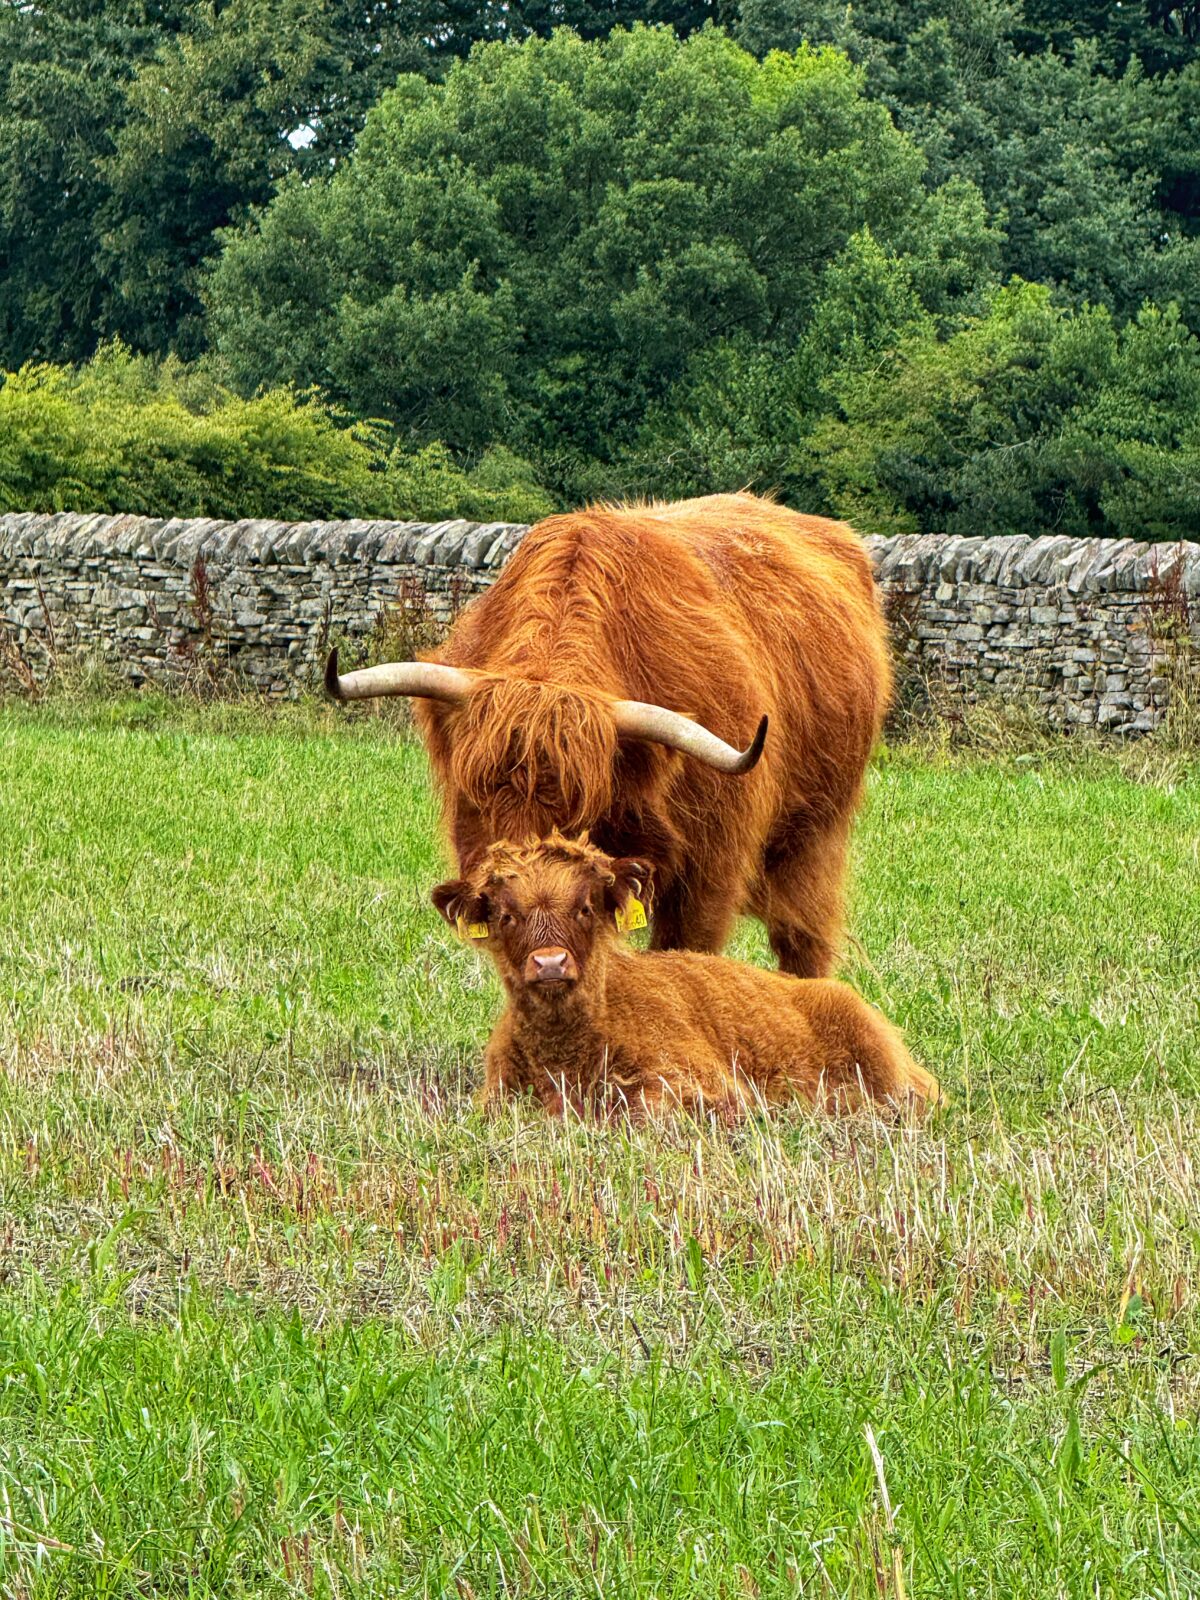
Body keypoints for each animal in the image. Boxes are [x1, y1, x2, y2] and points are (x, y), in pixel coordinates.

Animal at [431, 834, 940, 1120]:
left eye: (585, 907)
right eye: (506, 915)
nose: (551, 963)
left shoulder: (705, 1086)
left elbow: (639, 1110)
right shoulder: (496, 1094)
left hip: (889, 1077)